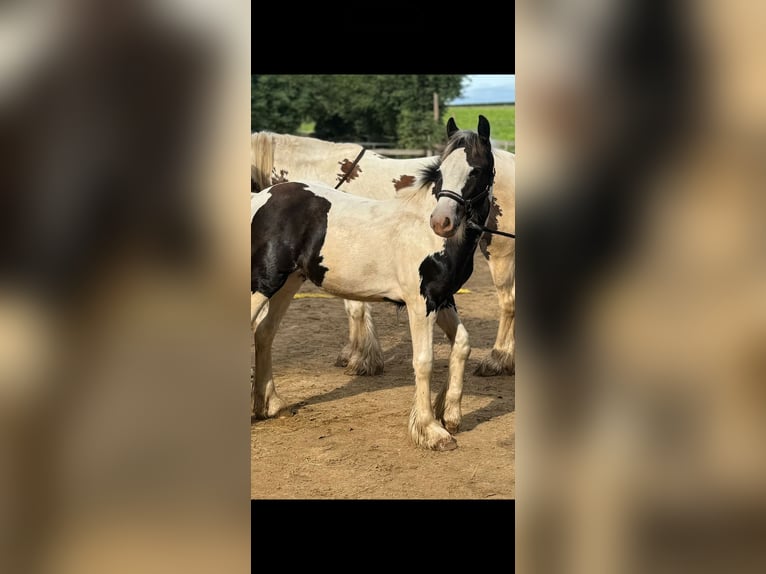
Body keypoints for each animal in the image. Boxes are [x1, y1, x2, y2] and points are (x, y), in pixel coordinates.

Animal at [252, 116, 498, 450]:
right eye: (441, 171)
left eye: (476, 170)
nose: (441, 222)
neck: (428, 234)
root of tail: (261, 198)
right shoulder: (420, 304)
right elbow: (424, 361)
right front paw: (430, 431)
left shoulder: (442, 298)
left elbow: (462, 345)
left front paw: (450, 415)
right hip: (262, 282)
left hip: (287, 282)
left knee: (264, 332)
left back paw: (272, 405)